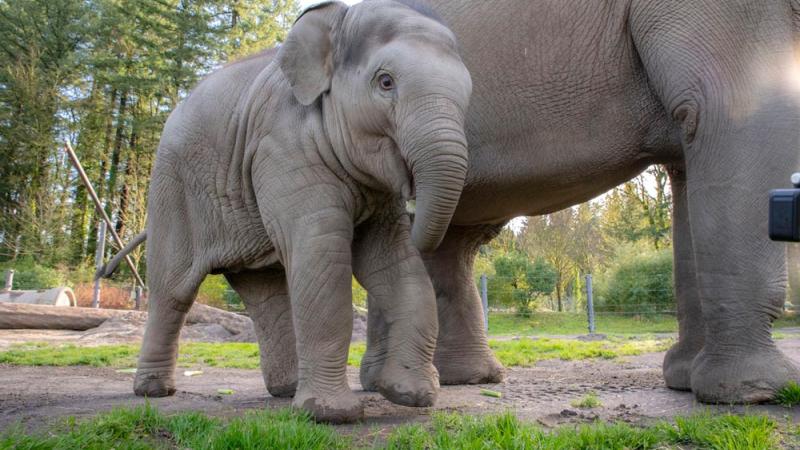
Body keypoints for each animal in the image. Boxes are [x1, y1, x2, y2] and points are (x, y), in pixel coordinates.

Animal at [120, 0, 473, 423]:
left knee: (265, 294)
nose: (412, 193)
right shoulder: (282, 146)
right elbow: (322, 254)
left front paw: (409, 395)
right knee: (172, 291)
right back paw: (153, 391)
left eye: (469, 94)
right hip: (173, 191)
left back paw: (286, 390)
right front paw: (332, 414)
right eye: (385, 82)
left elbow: (395, 264)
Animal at [247, 0, 800, 405]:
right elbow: (727, 110)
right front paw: (753, 394)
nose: (409, 199)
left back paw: (453, 381)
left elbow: (691, 159)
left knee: (451, 243)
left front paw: (686, 379)